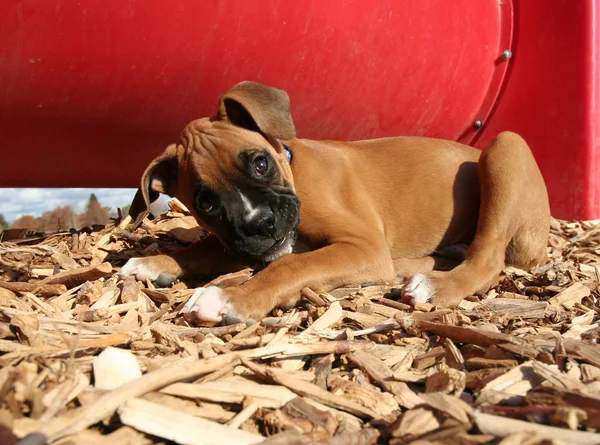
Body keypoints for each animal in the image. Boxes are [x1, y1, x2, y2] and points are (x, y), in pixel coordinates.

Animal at [120, 80, 548, 322]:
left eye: (260, 163)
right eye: (206, 203)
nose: (261, 224)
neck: (292, 168)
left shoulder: (361, 246)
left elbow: (290, 265)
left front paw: (230, 297)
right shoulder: (242, 244)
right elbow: (208, 247)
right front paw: (155, 261)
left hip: (504, 146)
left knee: (488, 259)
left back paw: (433, 284)